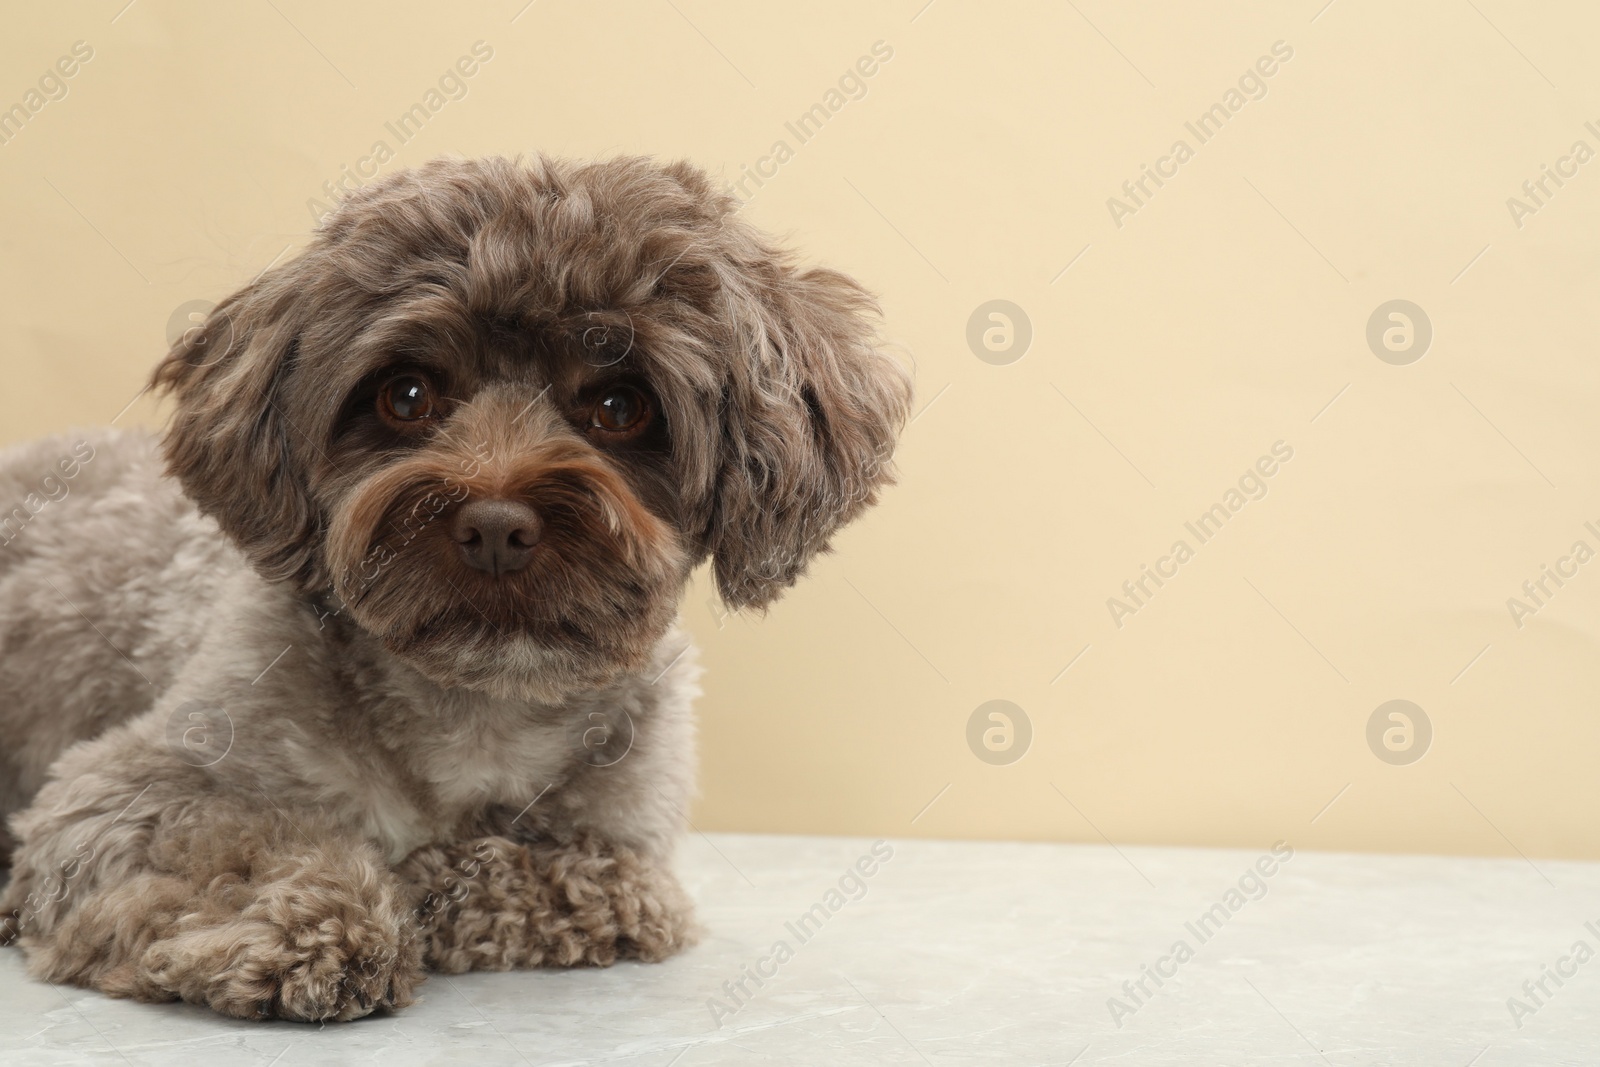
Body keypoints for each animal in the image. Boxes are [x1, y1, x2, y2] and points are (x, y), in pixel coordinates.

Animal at [0, 154, 908, 1023]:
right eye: (407, 394)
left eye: (620, 405)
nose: (496, 525)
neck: (481, 710)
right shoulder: (122, 791)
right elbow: (239, 844)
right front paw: (319, 924)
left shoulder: (631, 857)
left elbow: (554, 873)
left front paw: (431, 880)